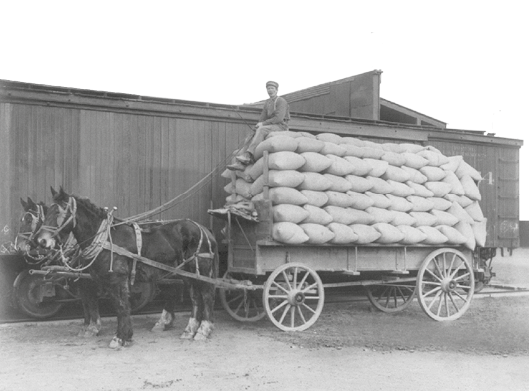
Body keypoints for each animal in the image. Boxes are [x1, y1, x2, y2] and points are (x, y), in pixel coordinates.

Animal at [37, 188, 219, 350]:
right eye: (47, 212)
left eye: (58, 212)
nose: (41, 241)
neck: (105, 238)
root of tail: (205, 230)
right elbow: (111, 305)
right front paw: (124, 336)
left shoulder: (117, 278)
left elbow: (121, 306)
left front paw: (119, 338)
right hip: (188, 273)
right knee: (195, 297)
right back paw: (189, 330)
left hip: (201, 270)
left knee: (207, 296)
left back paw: (203, 330)